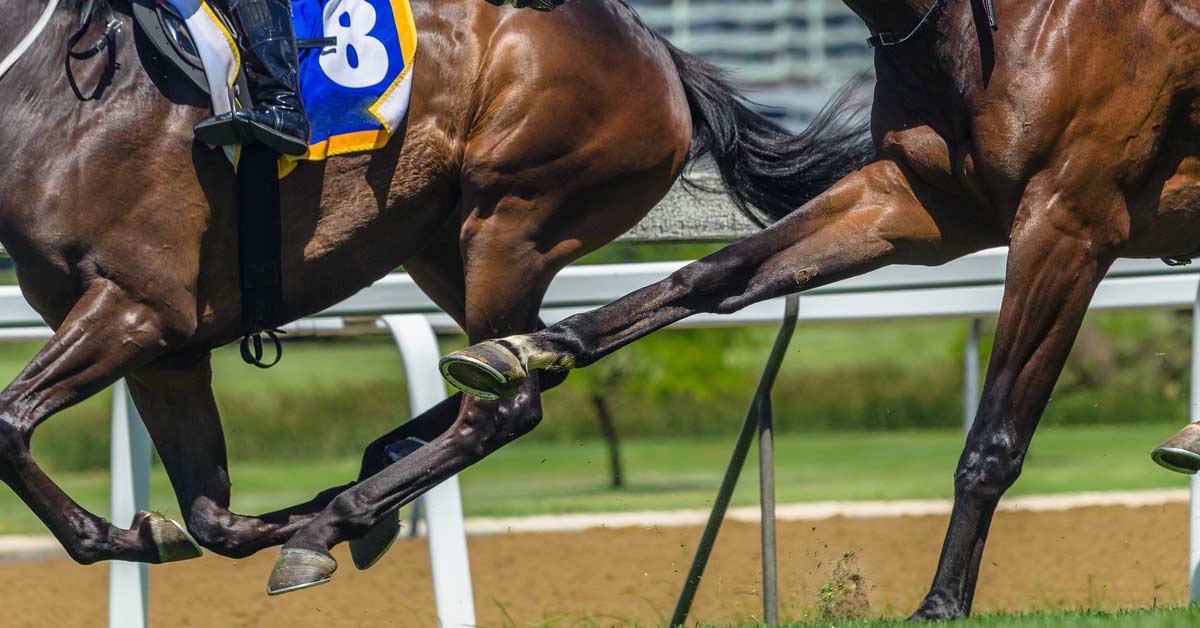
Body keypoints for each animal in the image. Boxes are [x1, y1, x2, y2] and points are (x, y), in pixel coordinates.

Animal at [0, 0, 874, 592]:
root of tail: (654, 46)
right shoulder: (166, 352)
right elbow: (214, 518)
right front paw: (166, 531)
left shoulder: (138, 306)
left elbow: (8, 425)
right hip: (442, 245)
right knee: (525, 360)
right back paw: (371, 476)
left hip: (512, 213)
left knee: (505, 404)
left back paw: (344, 513)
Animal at [431, 0, 1200, 619]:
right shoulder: (918, 201)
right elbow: (715, 273)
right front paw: (526, 346)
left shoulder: (1067, 223)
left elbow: (994, 438)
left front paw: (941, 604)